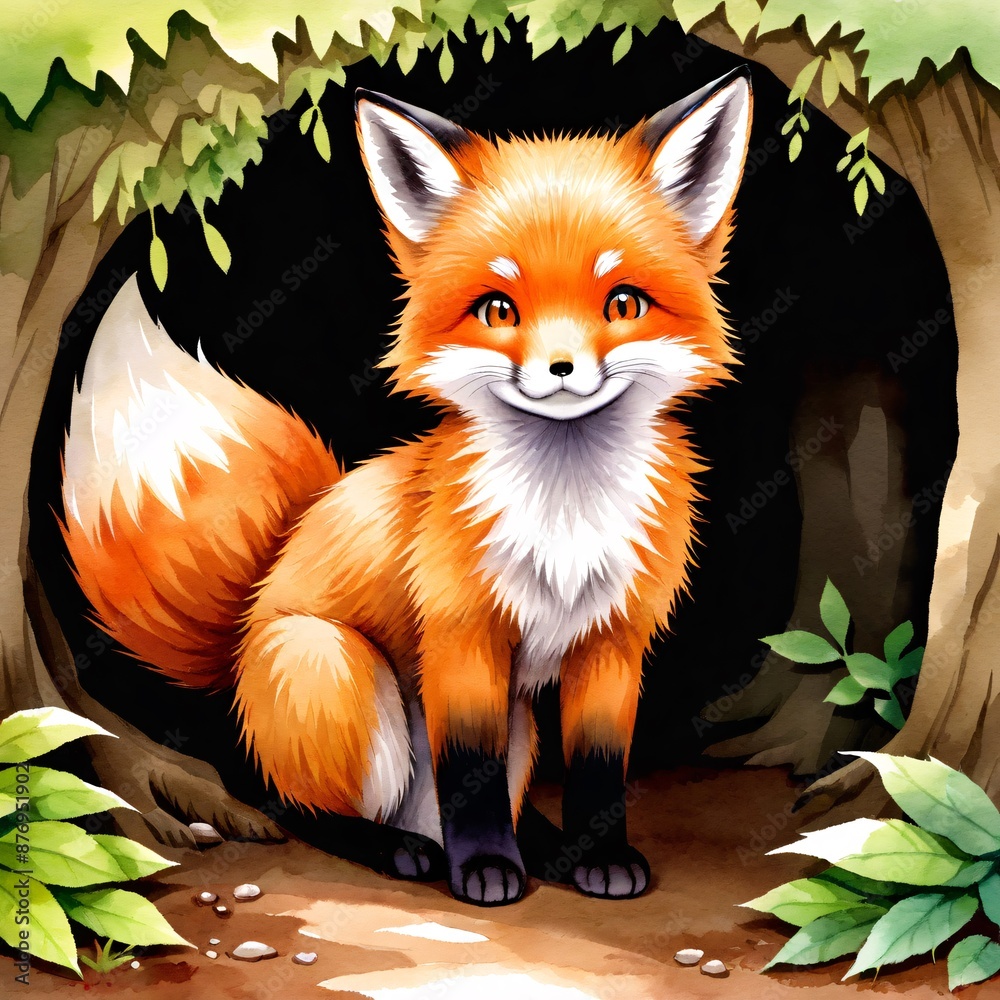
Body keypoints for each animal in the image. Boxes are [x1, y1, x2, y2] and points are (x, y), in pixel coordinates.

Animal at [60, 69, 752, 906]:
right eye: (498, 308)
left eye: (622, 303)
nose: (561, 369)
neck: (564, 513)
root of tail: (241, 636)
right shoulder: (461, 637)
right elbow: (470, 776)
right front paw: (485, 871)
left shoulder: (613, 643)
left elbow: (596, 772)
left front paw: (598, 858)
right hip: (341, 674)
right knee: (290, 802)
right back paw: (401, 850)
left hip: (517, 718)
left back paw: (535, 844)